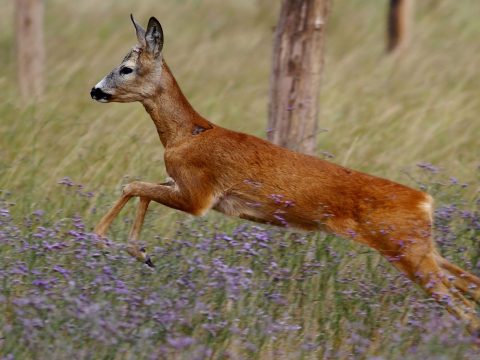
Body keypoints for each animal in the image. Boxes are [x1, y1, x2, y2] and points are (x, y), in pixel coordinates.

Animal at [90, 14, 480, 334]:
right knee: (471, 285)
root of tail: (425, 201)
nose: (95, 90)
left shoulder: (199, 196)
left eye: (126, 67)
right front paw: (140, 252)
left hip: (408, 251)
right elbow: (140, 189)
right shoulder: (182, 185)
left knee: (465, 311)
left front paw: (106, 239)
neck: (185, 134)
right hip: (423, 249)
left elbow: (132, 185)